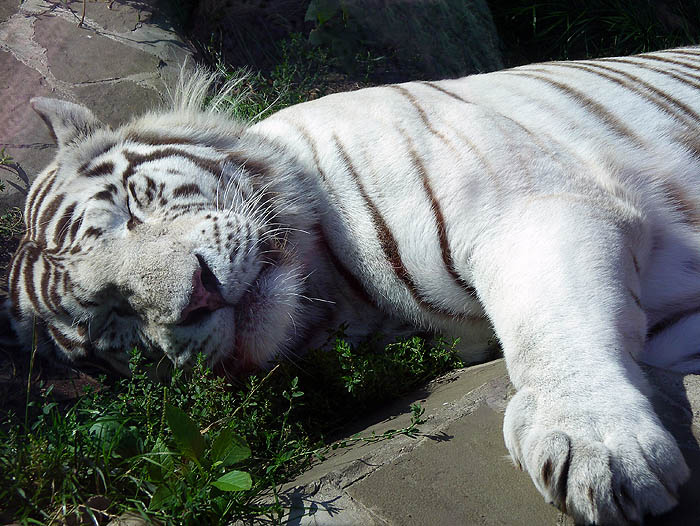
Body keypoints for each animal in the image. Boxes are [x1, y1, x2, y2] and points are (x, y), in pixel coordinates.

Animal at [3, 46, 700, 524]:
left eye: (130, 207)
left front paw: (595, 445)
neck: (344, 292)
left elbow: (547, 325)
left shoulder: (532, 205)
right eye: (110, 316)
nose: (197, 294)